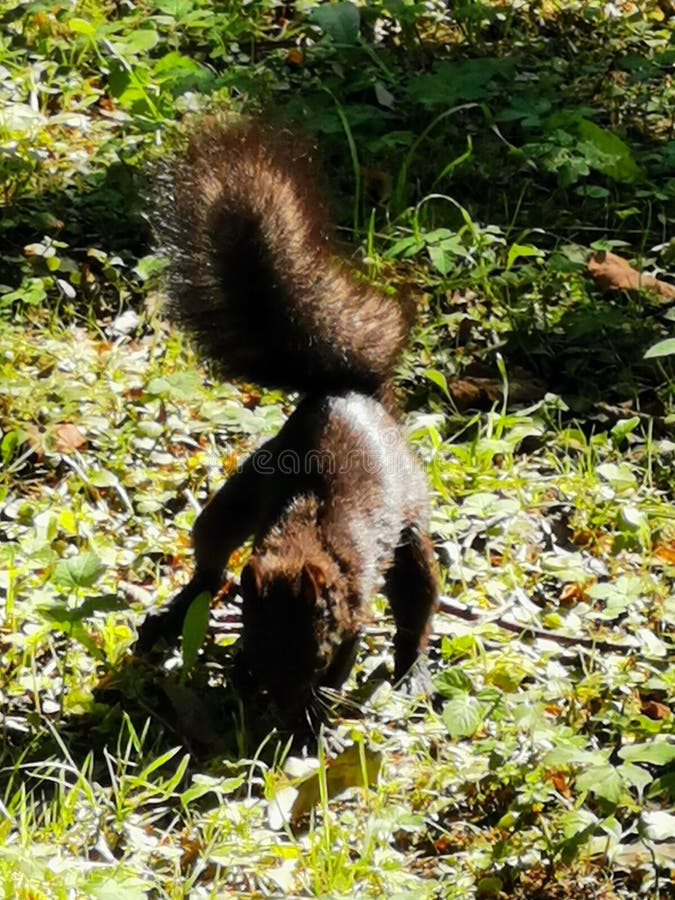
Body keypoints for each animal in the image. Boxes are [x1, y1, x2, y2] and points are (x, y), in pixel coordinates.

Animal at [135, 120, 439, 730]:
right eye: (255, 635)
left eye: (314, 649)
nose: (272, 692)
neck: (304, 545)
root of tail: (346, 391)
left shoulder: (354, 611)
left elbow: (343, 666)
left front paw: (308, 721)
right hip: (237, 497)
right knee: (210, 569)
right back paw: (173, 615)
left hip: (412, 539)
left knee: (416, 613)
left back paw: (412, 669)